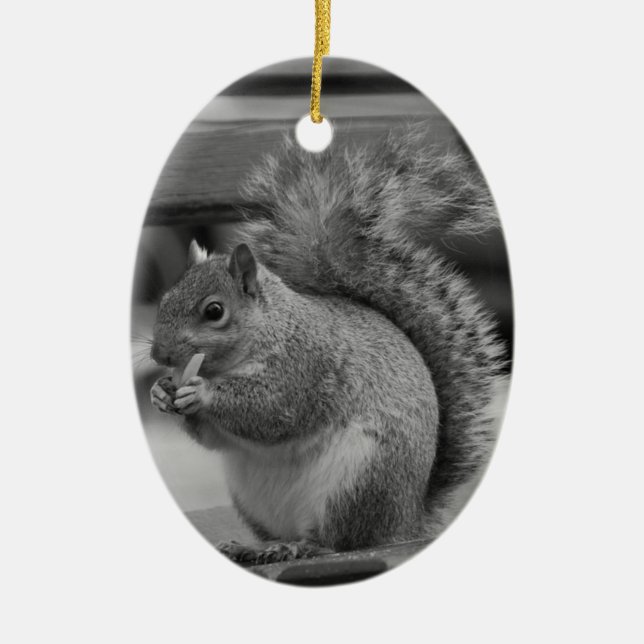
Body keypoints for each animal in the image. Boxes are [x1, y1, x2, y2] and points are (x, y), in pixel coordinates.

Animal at [150, 127, 509, 565]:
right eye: (165, 300)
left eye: (214, 311)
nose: (159, 355)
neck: (272, 329)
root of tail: (406, 521)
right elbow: (214, 438)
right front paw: (161, 392)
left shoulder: (306, 366)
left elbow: (271, 411)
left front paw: (200, 391)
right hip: (252, 496)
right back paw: (255, 546)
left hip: (359, 480)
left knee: (340, 541)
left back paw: (302, 546)